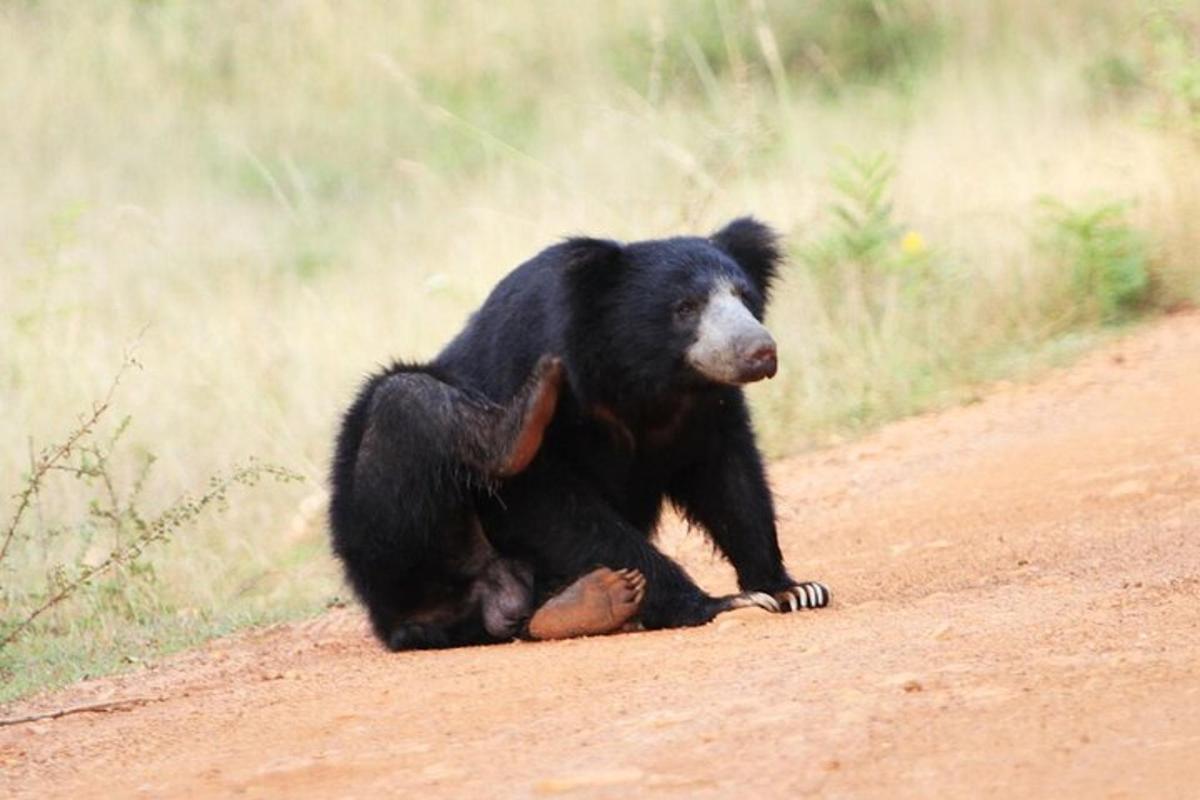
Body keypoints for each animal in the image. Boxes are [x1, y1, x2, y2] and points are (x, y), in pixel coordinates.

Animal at [333, 217, 830, 652]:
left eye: (744, 297)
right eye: (685, 308)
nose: (760, 352)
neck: (644, 380)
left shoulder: (705, 413)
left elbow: (730, 481)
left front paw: (790, 589)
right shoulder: (531, 360)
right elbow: (553, 504)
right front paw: (717, 602)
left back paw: (584, 604)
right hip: (390, 555)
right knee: (402, 397)